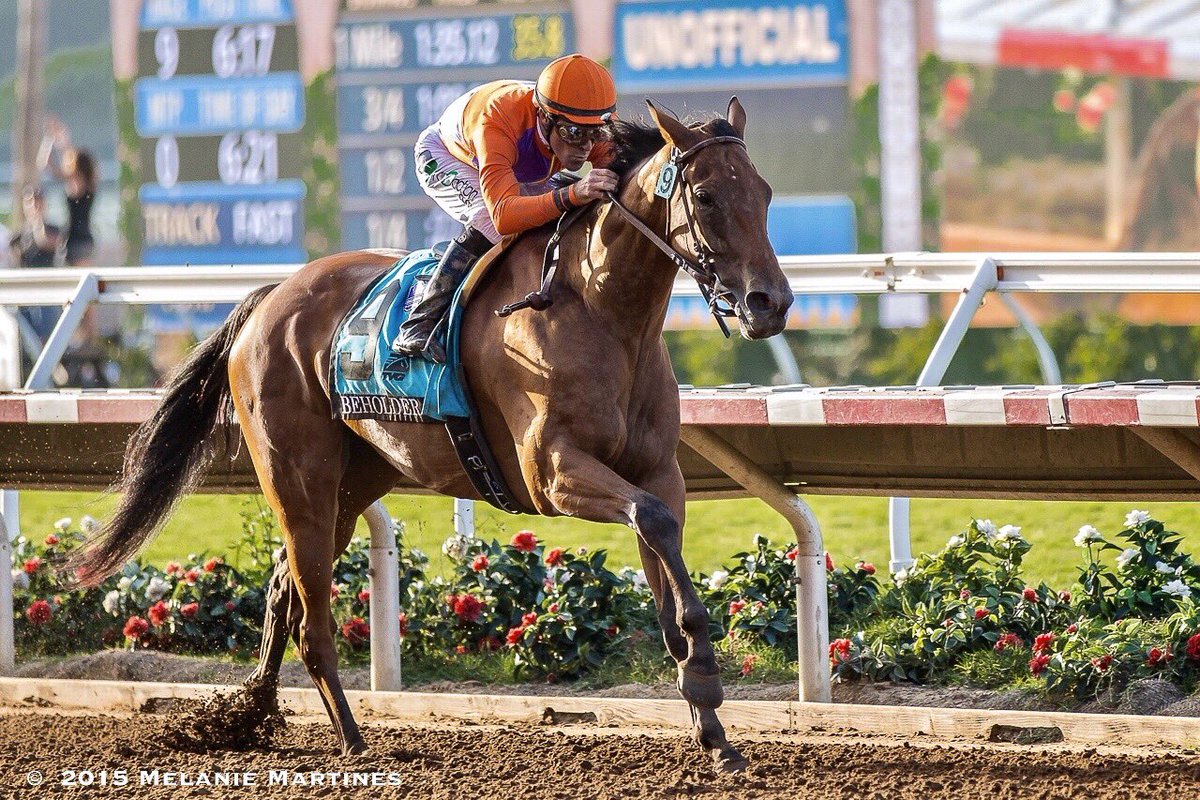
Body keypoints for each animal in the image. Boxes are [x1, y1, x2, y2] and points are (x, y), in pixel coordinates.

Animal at [71, 98, 794, 770]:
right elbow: (651, 525)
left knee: (282, 587)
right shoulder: (553, 473)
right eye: (705, 195)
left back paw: (252, 715)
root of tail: (272, 296)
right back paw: (352, 740)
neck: (603, 314)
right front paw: (707, 677)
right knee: (311, 619)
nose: (771, 303)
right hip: (298, 477)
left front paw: (713, 727)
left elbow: (663, 553)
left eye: (764, 193)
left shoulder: (658, 473)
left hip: (355, 480)